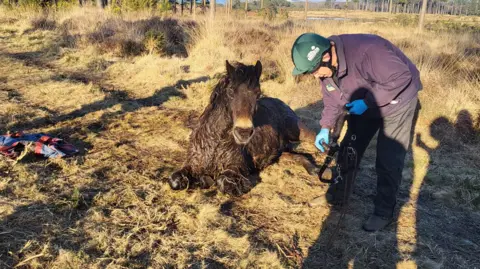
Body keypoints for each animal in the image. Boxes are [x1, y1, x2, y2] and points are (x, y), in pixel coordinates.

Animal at [169, 60, 318, 195]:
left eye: (258, 93)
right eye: (230, 91)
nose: (243, 132)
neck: (215, 142)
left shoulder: (235, 168)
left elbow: (224, 183)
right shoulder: (193, 164)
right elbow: (174, 180)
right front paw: (202, 180)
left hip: (300, 132)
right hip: (280, 152)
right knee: (298, 156)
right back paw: (313, 169)